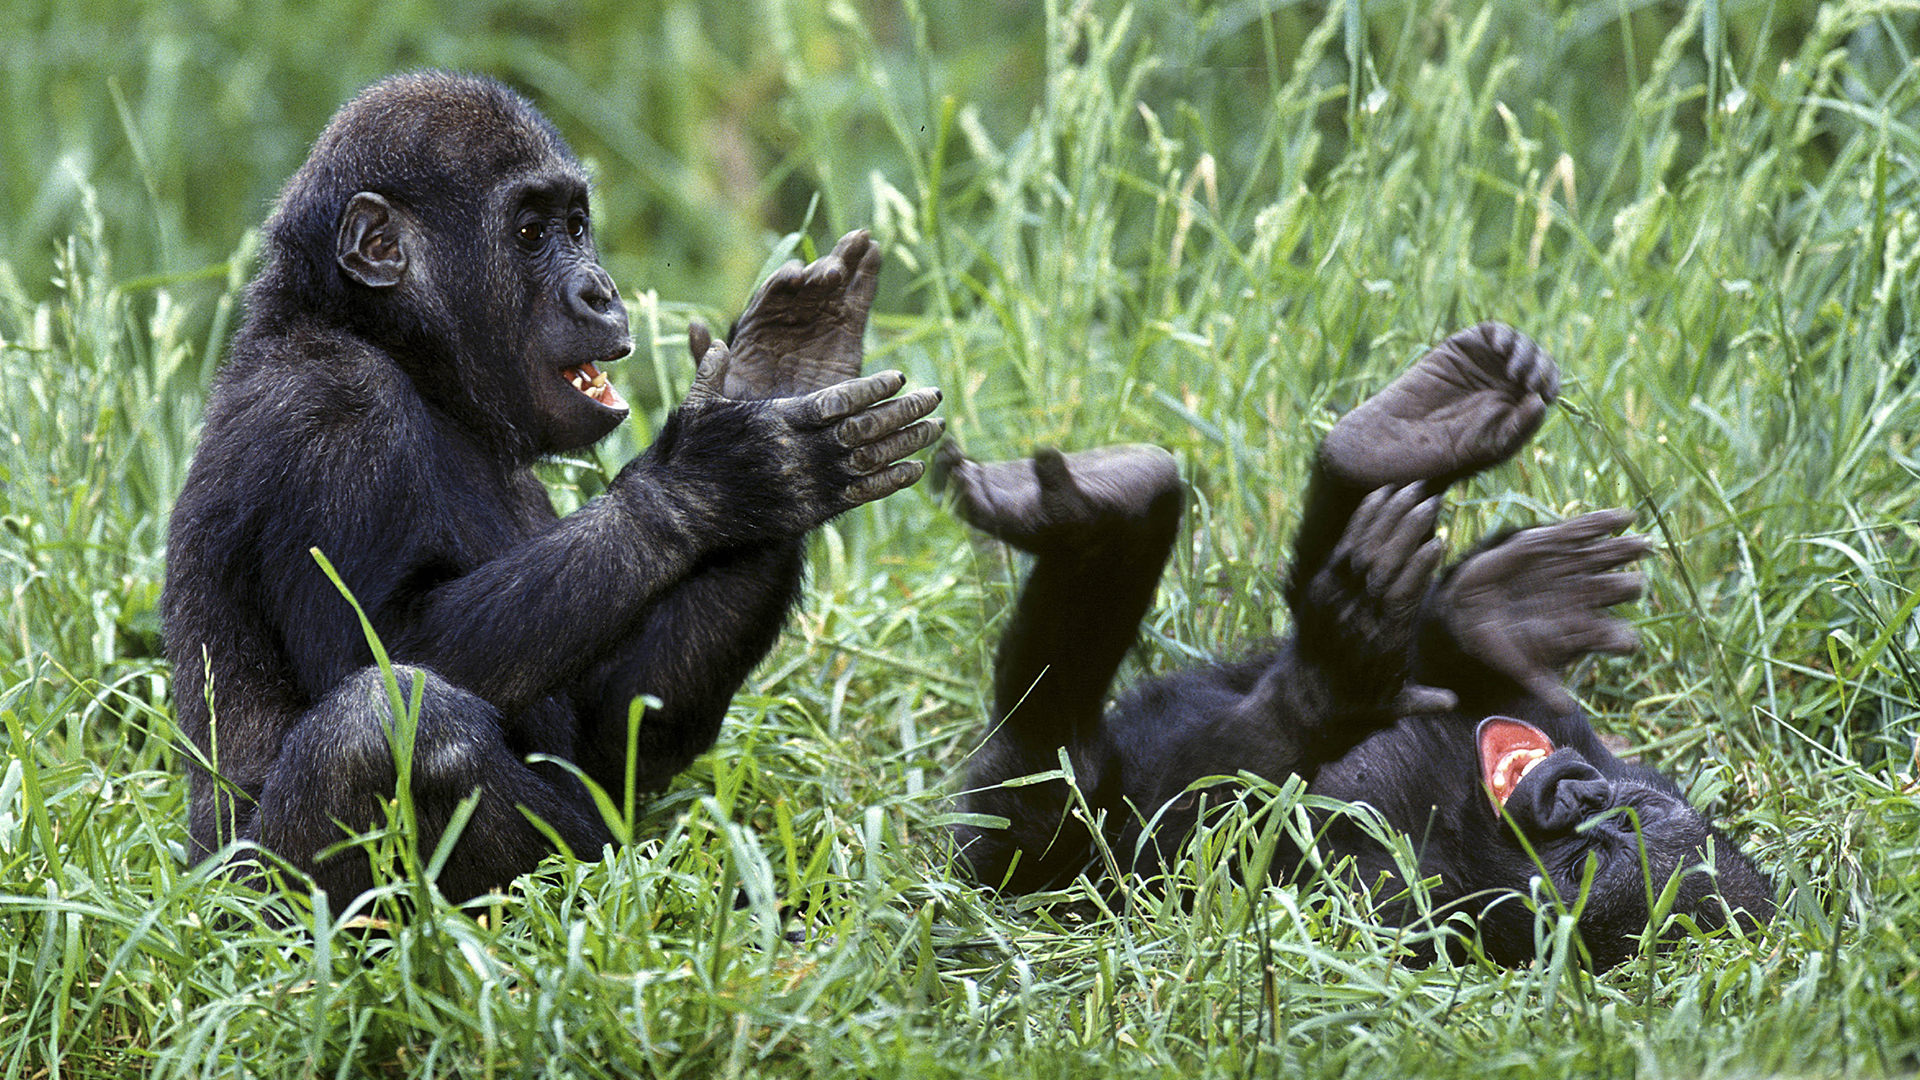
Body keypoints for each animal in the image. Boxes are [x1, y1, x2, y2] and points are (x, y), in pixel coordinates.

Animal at [165, 69, 944, 907]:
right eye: (531, 234)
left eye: (576, 225)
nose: (599, 290)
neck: (394, 348)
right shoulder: (337, 413)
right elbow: (384, 643)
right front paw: (712, 482)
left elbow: (616, 729)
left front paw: (780, 373)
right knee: (393, 722)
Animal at [940, 320, 1766, 968]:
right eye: (1620, 819)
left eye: (1592, 858)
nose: (1577, 794)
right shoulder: (1590, 738)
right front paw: (1497, 615)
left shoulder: (1400, 906)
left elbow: (1200, 849)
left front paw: (1332, 677)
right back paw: (1403, 440)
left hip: (1004, 853)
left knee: (1056, 781)